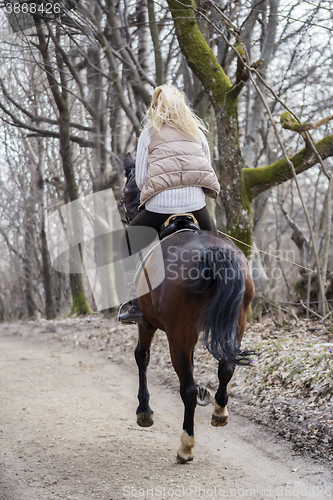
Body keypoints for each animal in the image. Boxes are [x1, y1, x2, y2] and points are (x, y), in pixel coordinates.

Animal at [132, 229, 254, 462]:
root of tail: (209, 251)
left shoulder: (146, 323)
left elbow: (142, 356)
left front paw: (144, 410)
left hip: (176, 335)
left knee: (187, 388)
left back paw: (186, 445)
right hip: (237, 321)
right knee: (226, 368)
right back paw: (219, 412)